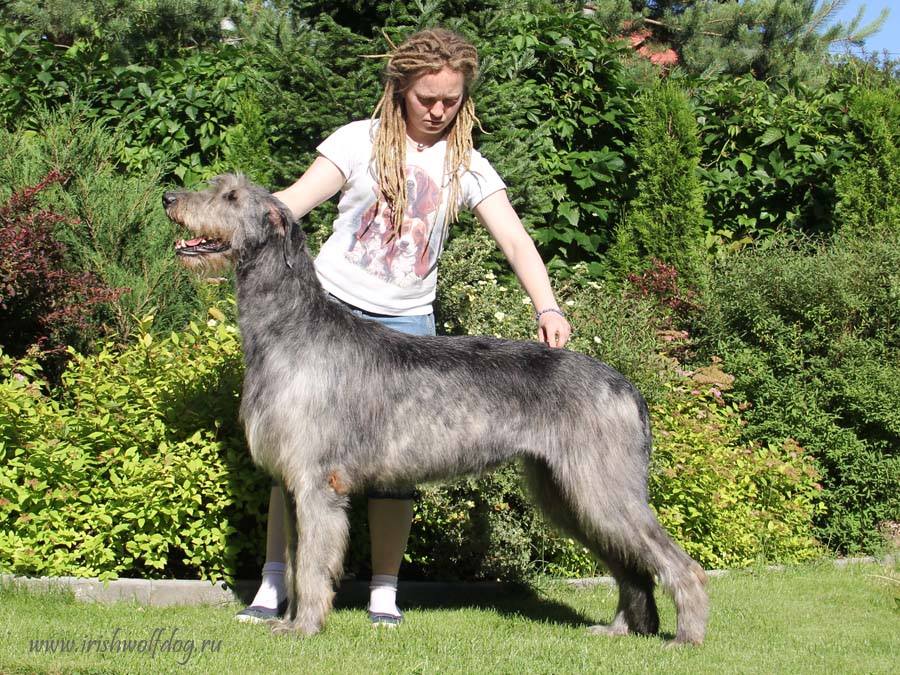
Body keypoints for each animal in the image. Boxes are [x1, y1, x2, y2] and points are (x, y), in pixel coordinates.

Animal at [163, 173, 712, 644]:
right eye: (219, 187)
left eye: (232, 197)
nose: (170, 198)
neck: (289, 326)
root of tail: (626, 385)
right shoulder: (294, 483)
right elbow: (298, 562)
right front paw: (290, 619)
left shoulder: (318, 484)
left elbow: (315, 565)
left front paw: (304, 627)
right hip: (567, 492)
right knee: (631, 566)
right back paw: (620, 629)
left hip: (602, 486)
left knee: (677, 563)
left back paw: (687, 635)